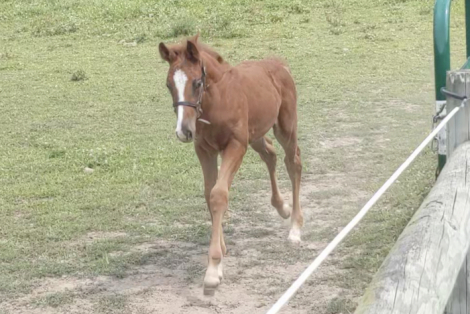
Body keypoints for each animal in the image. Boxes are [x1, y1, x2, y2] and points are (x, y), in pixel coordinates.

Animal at [159, 35, 304, 296]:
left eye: (197, 82)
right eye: (168, 85)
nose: (184, 131)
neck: (217, 101)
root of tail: (279, 64)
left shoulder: (235, 146)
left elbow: (218, 194)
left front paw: (213, 270)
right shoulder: (204, 150)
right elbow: (210, 193)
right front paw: (221, 252)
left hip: (285, 127)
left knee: (293, 163)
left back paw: (295, 228)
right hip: (255, 134)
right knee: (270, 155)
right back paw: (282, 207)